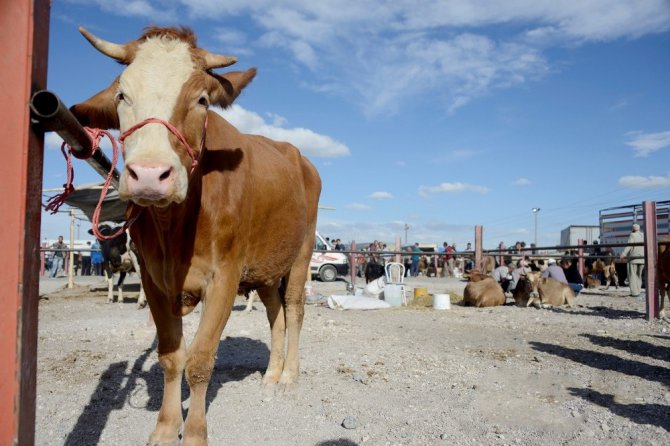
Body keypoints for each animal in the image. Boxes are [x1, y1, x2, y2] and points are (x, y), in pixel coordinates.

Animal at [73, 26, 322, 444]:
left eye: (202, 100)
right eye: (122, 95)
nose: (150, 175)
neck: (174, 228)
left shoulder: (224, 277)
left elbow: (201, 360)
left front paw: (193, 433)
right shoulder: (153, 278)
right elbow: (172, 358)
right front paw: (165, 427)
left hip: (302, 253)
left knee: (294, 308)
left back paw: (289, 374)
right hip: (265, 265)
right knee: (275, 311)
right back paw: (272, 373)